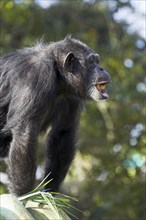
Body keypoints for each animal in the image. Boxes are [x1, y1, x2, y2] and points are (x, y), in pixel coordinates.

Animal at [0, 36, 110, 196]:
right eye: (91, 62)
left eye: (97, 61)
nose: (101, 68)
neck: (59, 77)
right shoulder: (36, 76)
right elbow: (24, 133)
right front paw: (24, 195)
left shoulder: (71, 98)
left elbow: (63, 133)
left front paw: (51, 193)